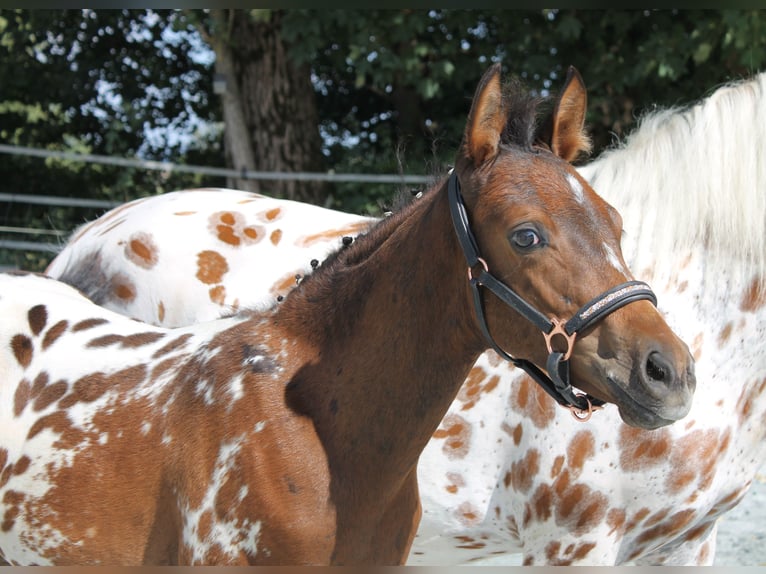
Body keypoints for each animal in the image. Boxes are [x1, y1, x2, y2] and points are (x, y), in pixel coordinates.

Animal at [48, 72, 766, 568]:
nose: (666, 373)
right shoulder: (572, 542)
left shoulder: (687, 543)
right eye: (526, 236)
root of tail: (84, 239)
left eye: (616, 225)